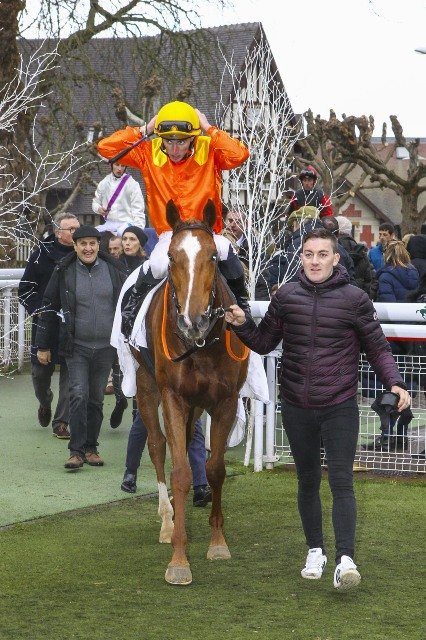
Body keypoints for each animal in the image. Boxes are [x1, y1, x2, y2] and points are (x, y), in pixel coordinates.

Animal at [131, 199, 249, 585]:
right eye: (171, 257)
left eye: (213, 256)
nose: (192, 321)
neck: (200, 347)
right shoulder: (173, 396)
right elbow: (181, 471)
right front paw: (179, 559)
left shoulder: (225, 400)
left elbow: (215, 468)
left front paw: (217, 543)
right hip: (146, 385)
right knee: (157, 445)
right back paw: (168, 522)